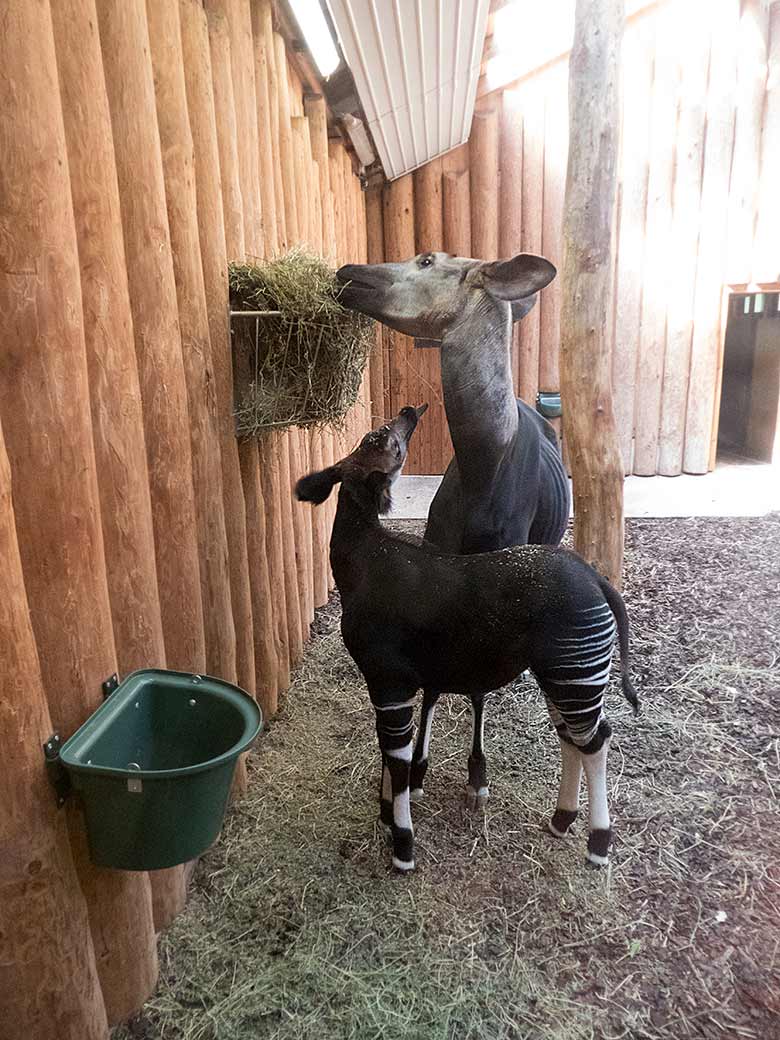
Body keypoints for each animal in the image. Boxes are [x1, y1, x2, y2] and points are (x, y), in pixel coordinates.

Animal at [295, 403, 636, 869]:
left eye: (379, 438)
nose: (408, 411)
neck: (363, 562)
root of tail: (596, 579)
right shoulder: (389, 685)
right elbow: (388, 747)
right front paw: (386, 816)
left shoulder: (389, 680)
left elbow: (397, 756)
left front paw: (402, 845)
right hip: (562, 672)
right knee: (573, 737)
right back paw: (561, 820)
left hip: (575, 671)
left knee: (595, 739)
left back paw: (598, 844)